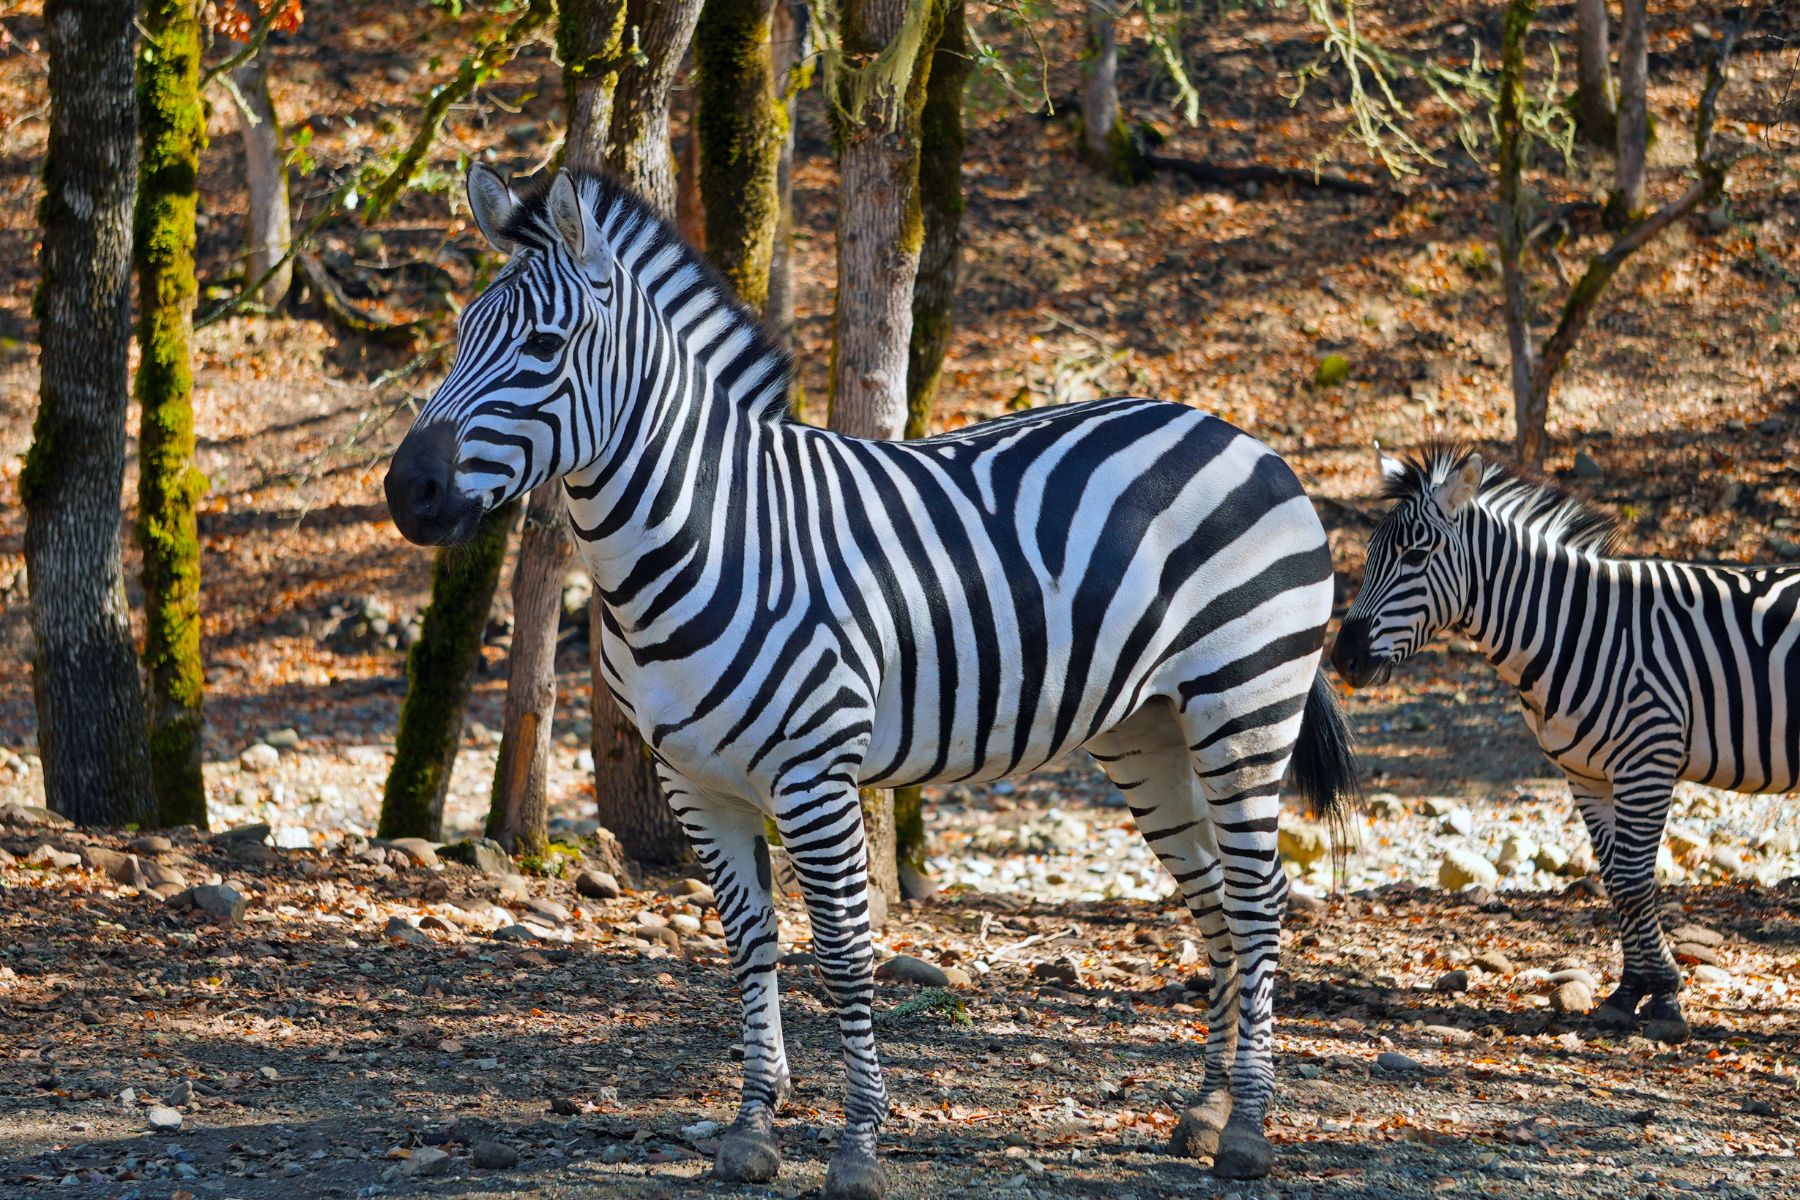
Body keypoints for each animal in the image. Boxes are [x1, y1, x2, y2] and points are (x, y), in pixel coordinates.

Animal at [387, 166, 1353, 1194]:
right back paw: (1205, 1109)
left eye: (543, 344)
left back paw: (1247, 1127)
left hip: (1244, 704)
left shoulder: (814, 776)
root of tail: (1236, 435)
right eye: (458, 336)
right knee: (1213, 895)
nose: (407, 491)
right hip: (1149, 731)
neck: (713, 531)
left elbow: (846, 957)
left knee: (1258, 897)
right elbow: (750, 946)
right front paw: (753, 1128)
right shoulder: (696, 782)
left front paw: (856, 1145)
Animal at [1339, 446, 1800, 1043]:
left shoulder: (1648, 761)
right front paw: (1629, 993)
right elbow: (1615, 879)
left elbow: (1634, 882)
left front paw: (1664, 997)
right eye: (1371, 555)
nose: (1343, 657)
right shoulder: (1584, 774)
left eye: (1416, 555)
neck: (1575, 631)